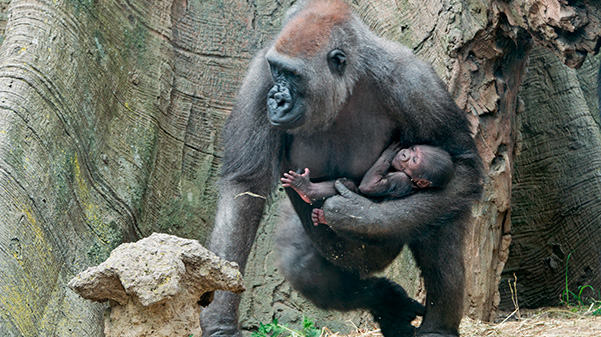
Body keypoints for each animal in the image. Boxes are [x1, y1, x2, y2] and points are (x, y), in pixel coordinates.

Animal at [284, 142, 452, 223]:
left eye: (415, 160)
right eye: (412, 149)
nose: (405, 154)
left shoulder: (401, 179)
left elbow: (369, 186)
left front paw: (388, 153)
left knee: (351, 186)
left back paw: (305, 190)